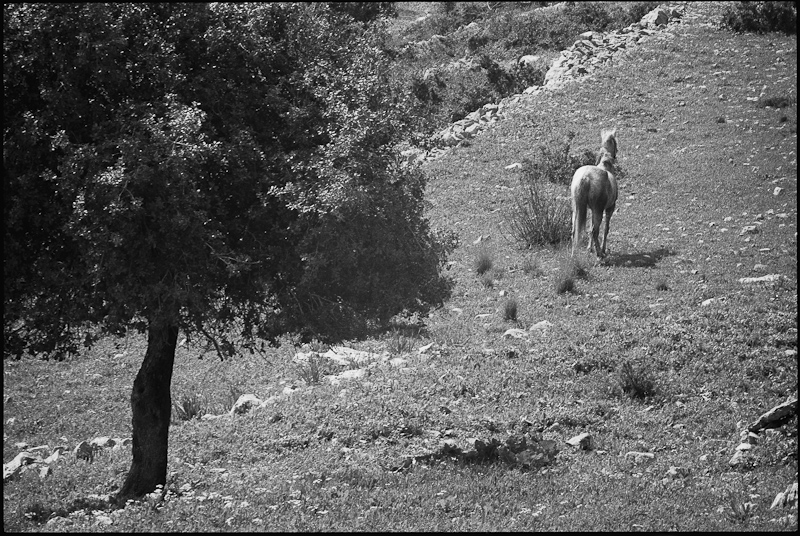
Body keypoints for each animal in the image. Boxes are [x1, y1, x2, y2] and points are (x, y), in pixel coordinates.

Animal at [568, 129, 620, 258]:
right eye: (615, 141)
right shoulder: (610, 208)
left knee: (575, 230)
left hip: (577, 208)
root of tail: (585, 177)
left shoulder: (592, 209)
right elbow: (606, 229)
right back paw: (600, 254)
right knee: (595, 231)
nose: (616, 153)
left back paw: (573, 255)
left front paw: (589, 248)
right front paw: (602, 249)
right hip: (599, 210)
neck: (605, 165)